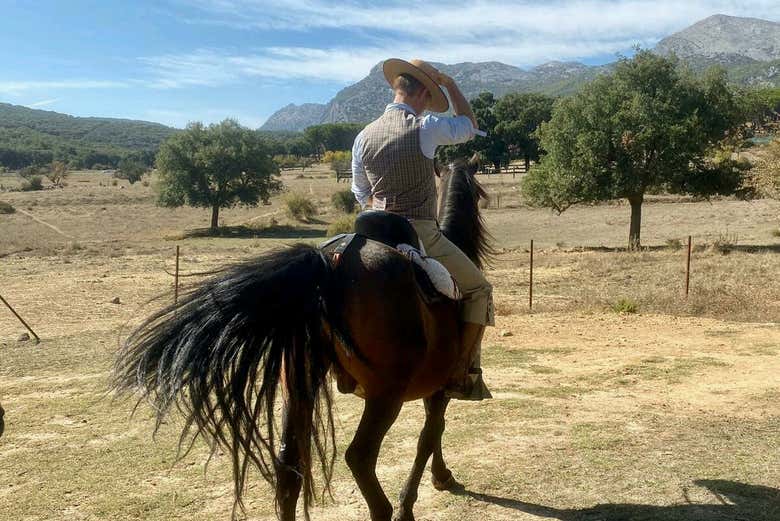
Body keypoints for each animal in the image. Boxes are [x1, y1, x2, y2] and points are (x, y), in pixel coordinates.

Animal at [112, 156, 490, 516]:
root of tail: (331, 261)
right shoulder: (440, 388)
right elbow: (430, 435)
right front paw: (420, 494)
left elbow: (432, 433)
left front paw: (440, 477)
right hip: (384, 396)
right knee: (360, 459)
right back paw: (387, 509)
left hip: (298, 389)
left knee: (288, 469)